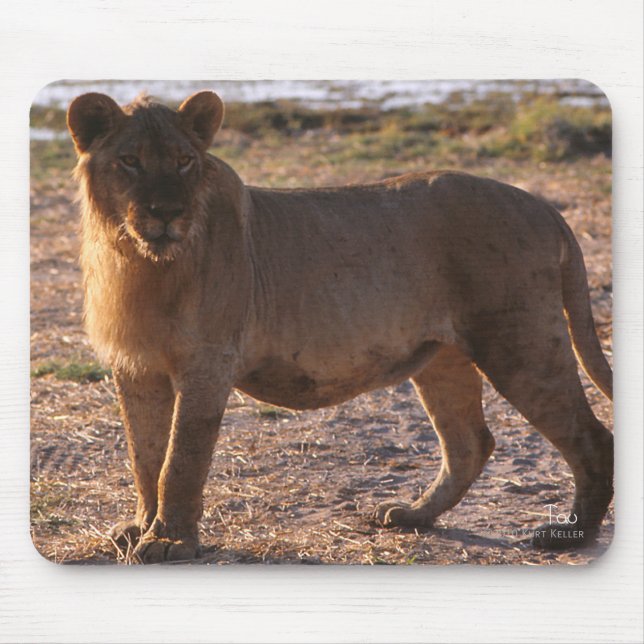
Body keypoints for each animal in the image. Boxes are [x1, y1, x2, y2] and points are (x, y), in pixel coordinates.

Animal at [66, 90, 613, 563]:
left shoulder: (208, 363)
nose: (166, 212)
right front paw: (139, 528)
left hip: (520, 344)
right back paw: (413, 515)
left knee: (591, 436)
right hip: (443, 357)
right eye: (129, 161)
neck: (141, 262)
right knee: (470, 443)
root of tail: (542, 206)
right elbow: (144, 455)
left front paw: (169, 542)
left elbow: (180, 460)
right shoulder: (136, 367)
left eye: (183, 161)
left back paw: (569, 535)